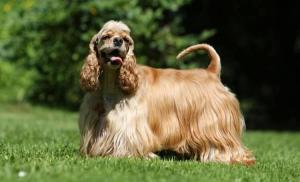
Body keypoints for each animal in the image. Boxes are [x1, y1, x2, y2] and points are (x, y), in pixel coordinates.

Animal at [78, 20, 254, 165]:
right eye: (106, 36)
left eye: (126, 39)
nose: (118, 41)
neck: (112, 82)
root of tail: (212, 72)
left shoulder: (130, 123)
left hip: (215, 124)